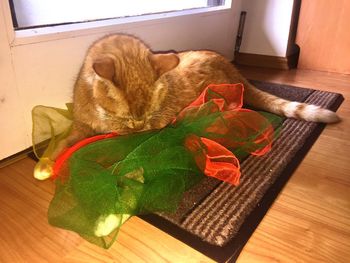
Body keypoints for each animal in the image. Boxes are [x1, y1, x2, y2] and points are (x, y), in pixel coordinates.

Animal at [34, 34, 340, 180]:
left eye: (147, 117)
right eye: (128, 117)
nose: (139, 127)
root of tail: (229, 64)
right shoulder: (80, 126)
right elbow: (61, 143)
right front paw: (45, 163)